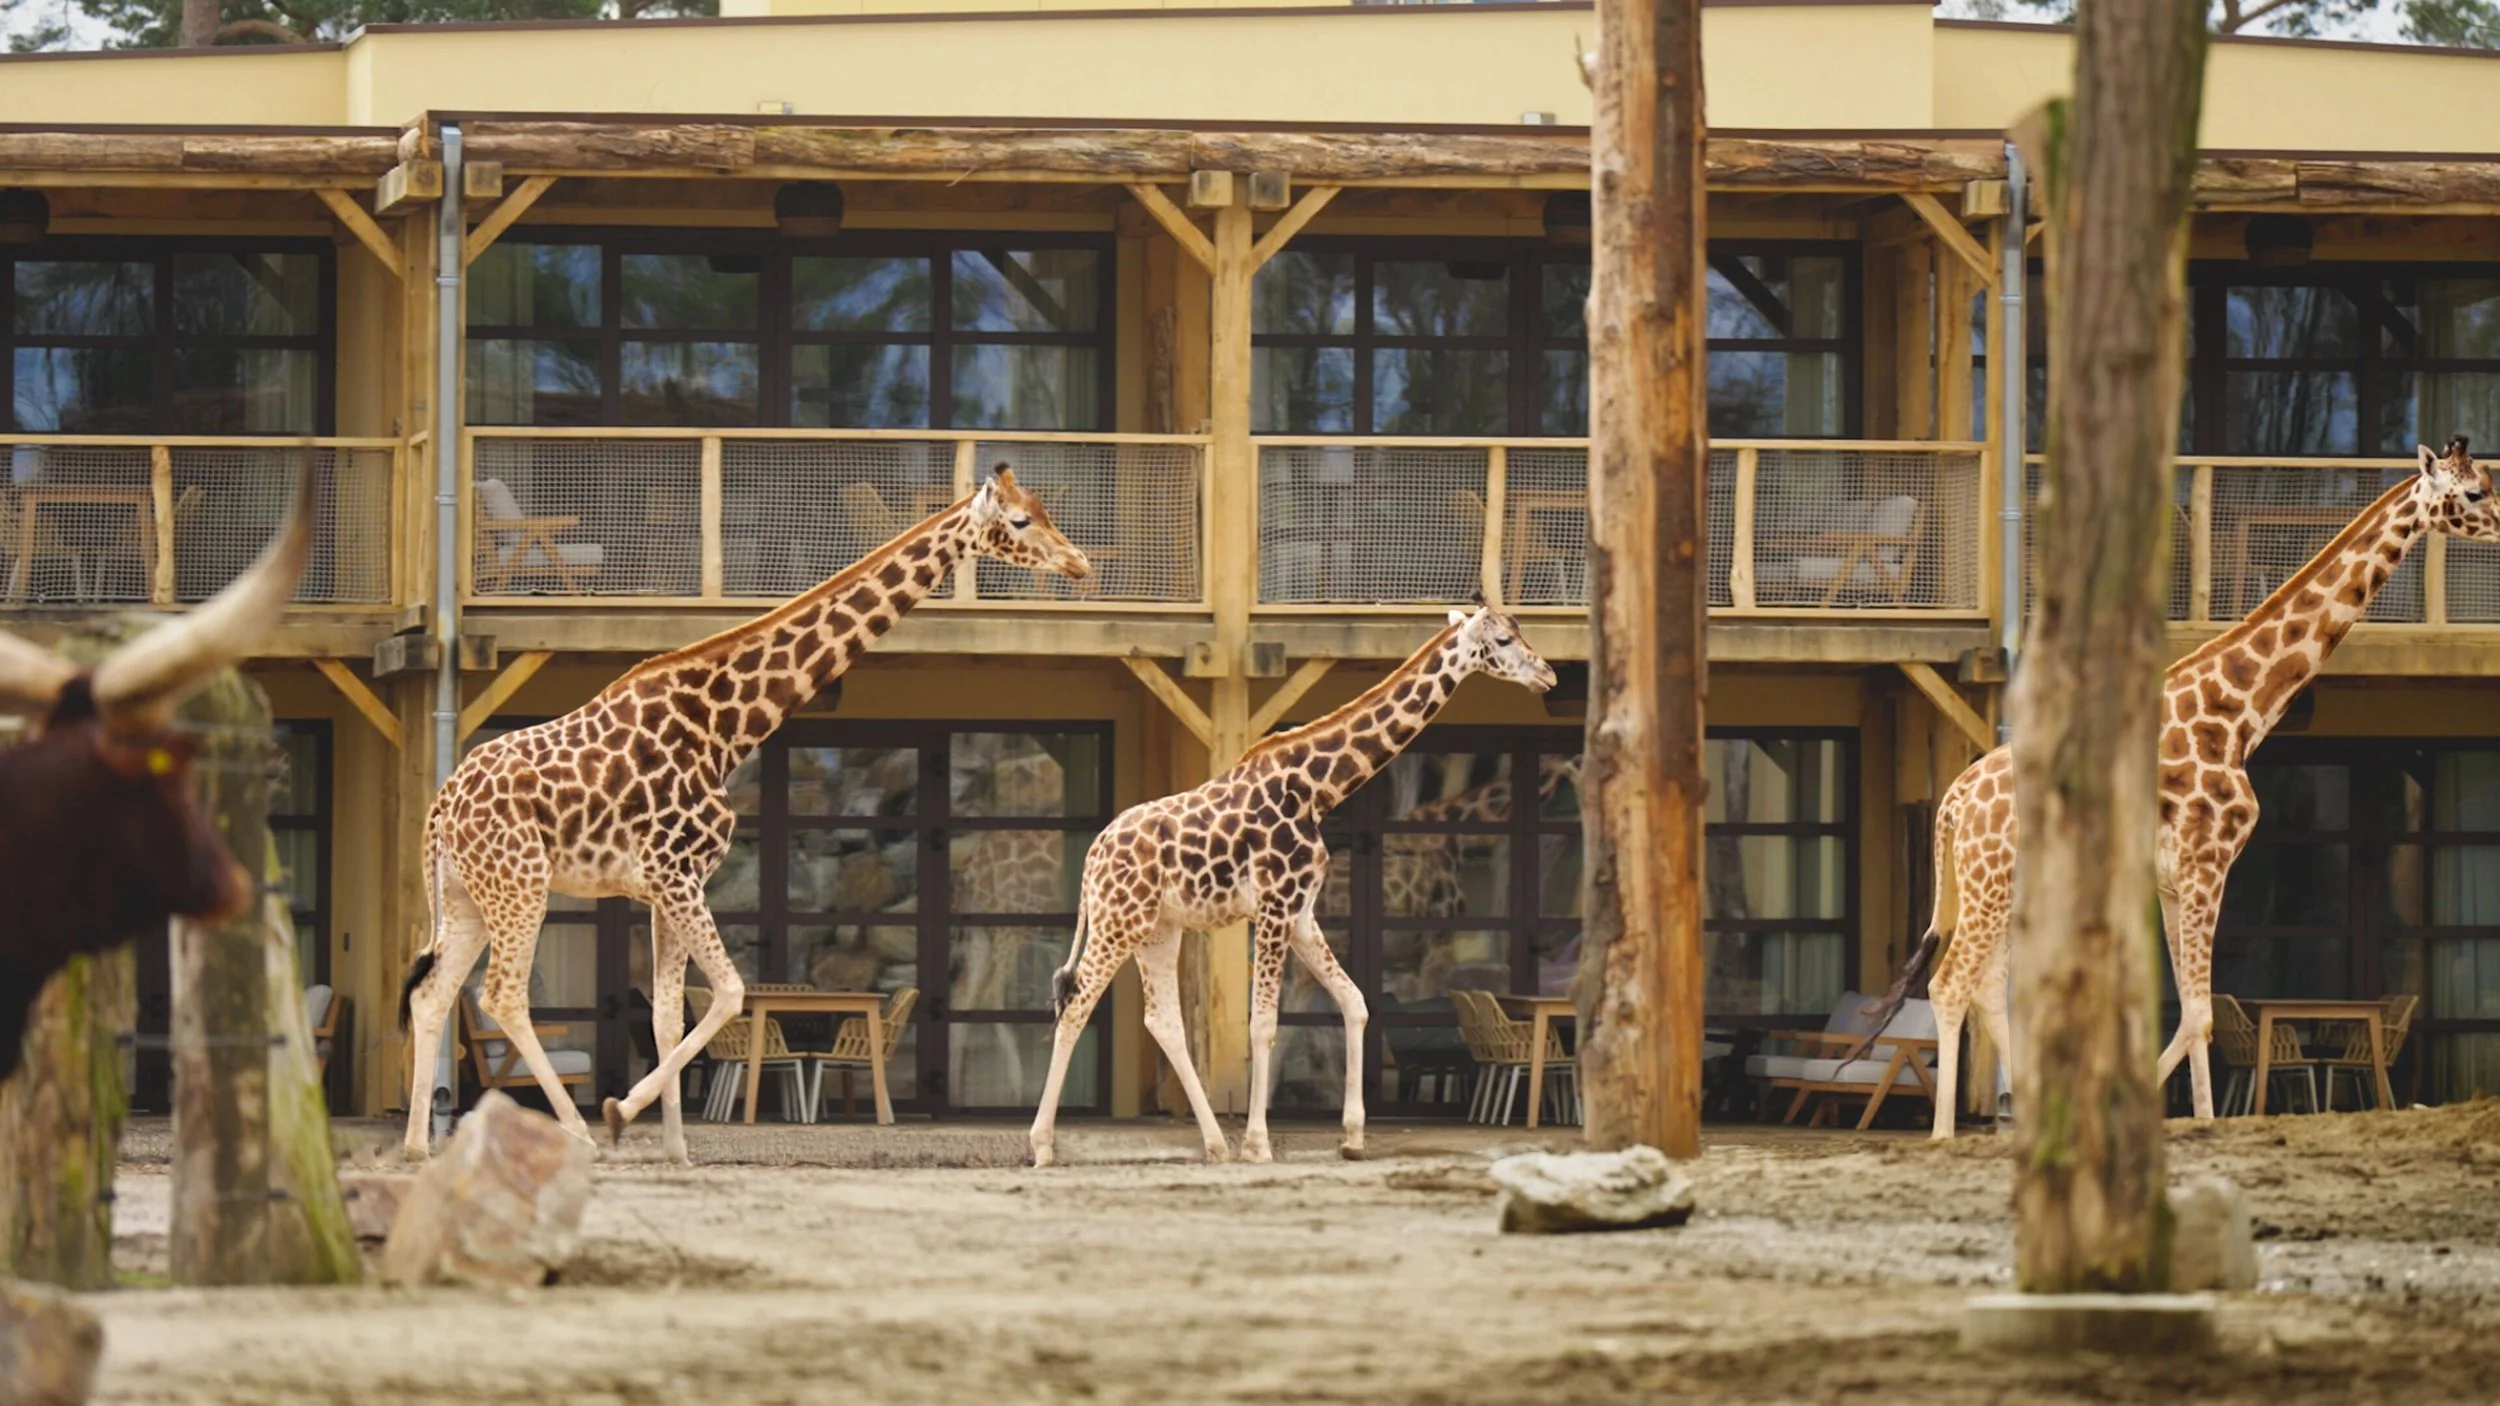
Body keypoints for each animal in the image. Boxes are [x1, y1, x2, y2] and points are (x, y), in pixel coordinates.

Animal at [396, 467, 1090, 1163]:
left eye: (1046, 509)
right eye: (1021, 521)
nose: (1080, 562)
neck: (725, 727)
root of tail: (439, 808)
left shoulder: (665, 886)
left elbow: (666, 1014)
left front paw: (676, 1150)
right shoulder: (677, 874)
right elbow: (730, 993)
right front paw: (621, 1111)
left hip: (469, 896)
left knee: (433, 993)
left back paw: (417, 1147)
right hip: (520, 885)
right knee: (501, 994)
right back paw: (576, 1132)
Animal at [1028, 606, 1556, 1167]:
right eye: (1504, 640)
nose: (1549, 675)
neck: (1318, 789)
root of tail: (1092, 856)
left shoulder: (1302, 912)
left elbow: (1355, 1002)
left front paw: (1352, 1137)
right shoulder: (1274, 903)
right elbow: (1263, 1024)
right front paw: (1259, 1143)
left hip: (1157, 929)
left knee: (1162, 1020)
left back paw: (1215, 1144)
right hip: (1117, 921)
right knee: (1076, 1005)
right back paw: (1043, 1145)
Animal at [1868, 439, 2500, 1134]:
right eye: (2474, 492)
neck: (2238, 718)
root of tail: (1952, 801)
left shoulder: (2174, 883)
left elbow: (2197, 1019)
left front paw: (2197, 1121)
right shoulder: (2209, 864)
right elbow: (2199, 1015)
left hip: (2002, 887)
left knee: (1984, 985)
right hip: (1988, 886)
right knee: (1949, 983)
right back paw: (1945, 1133)